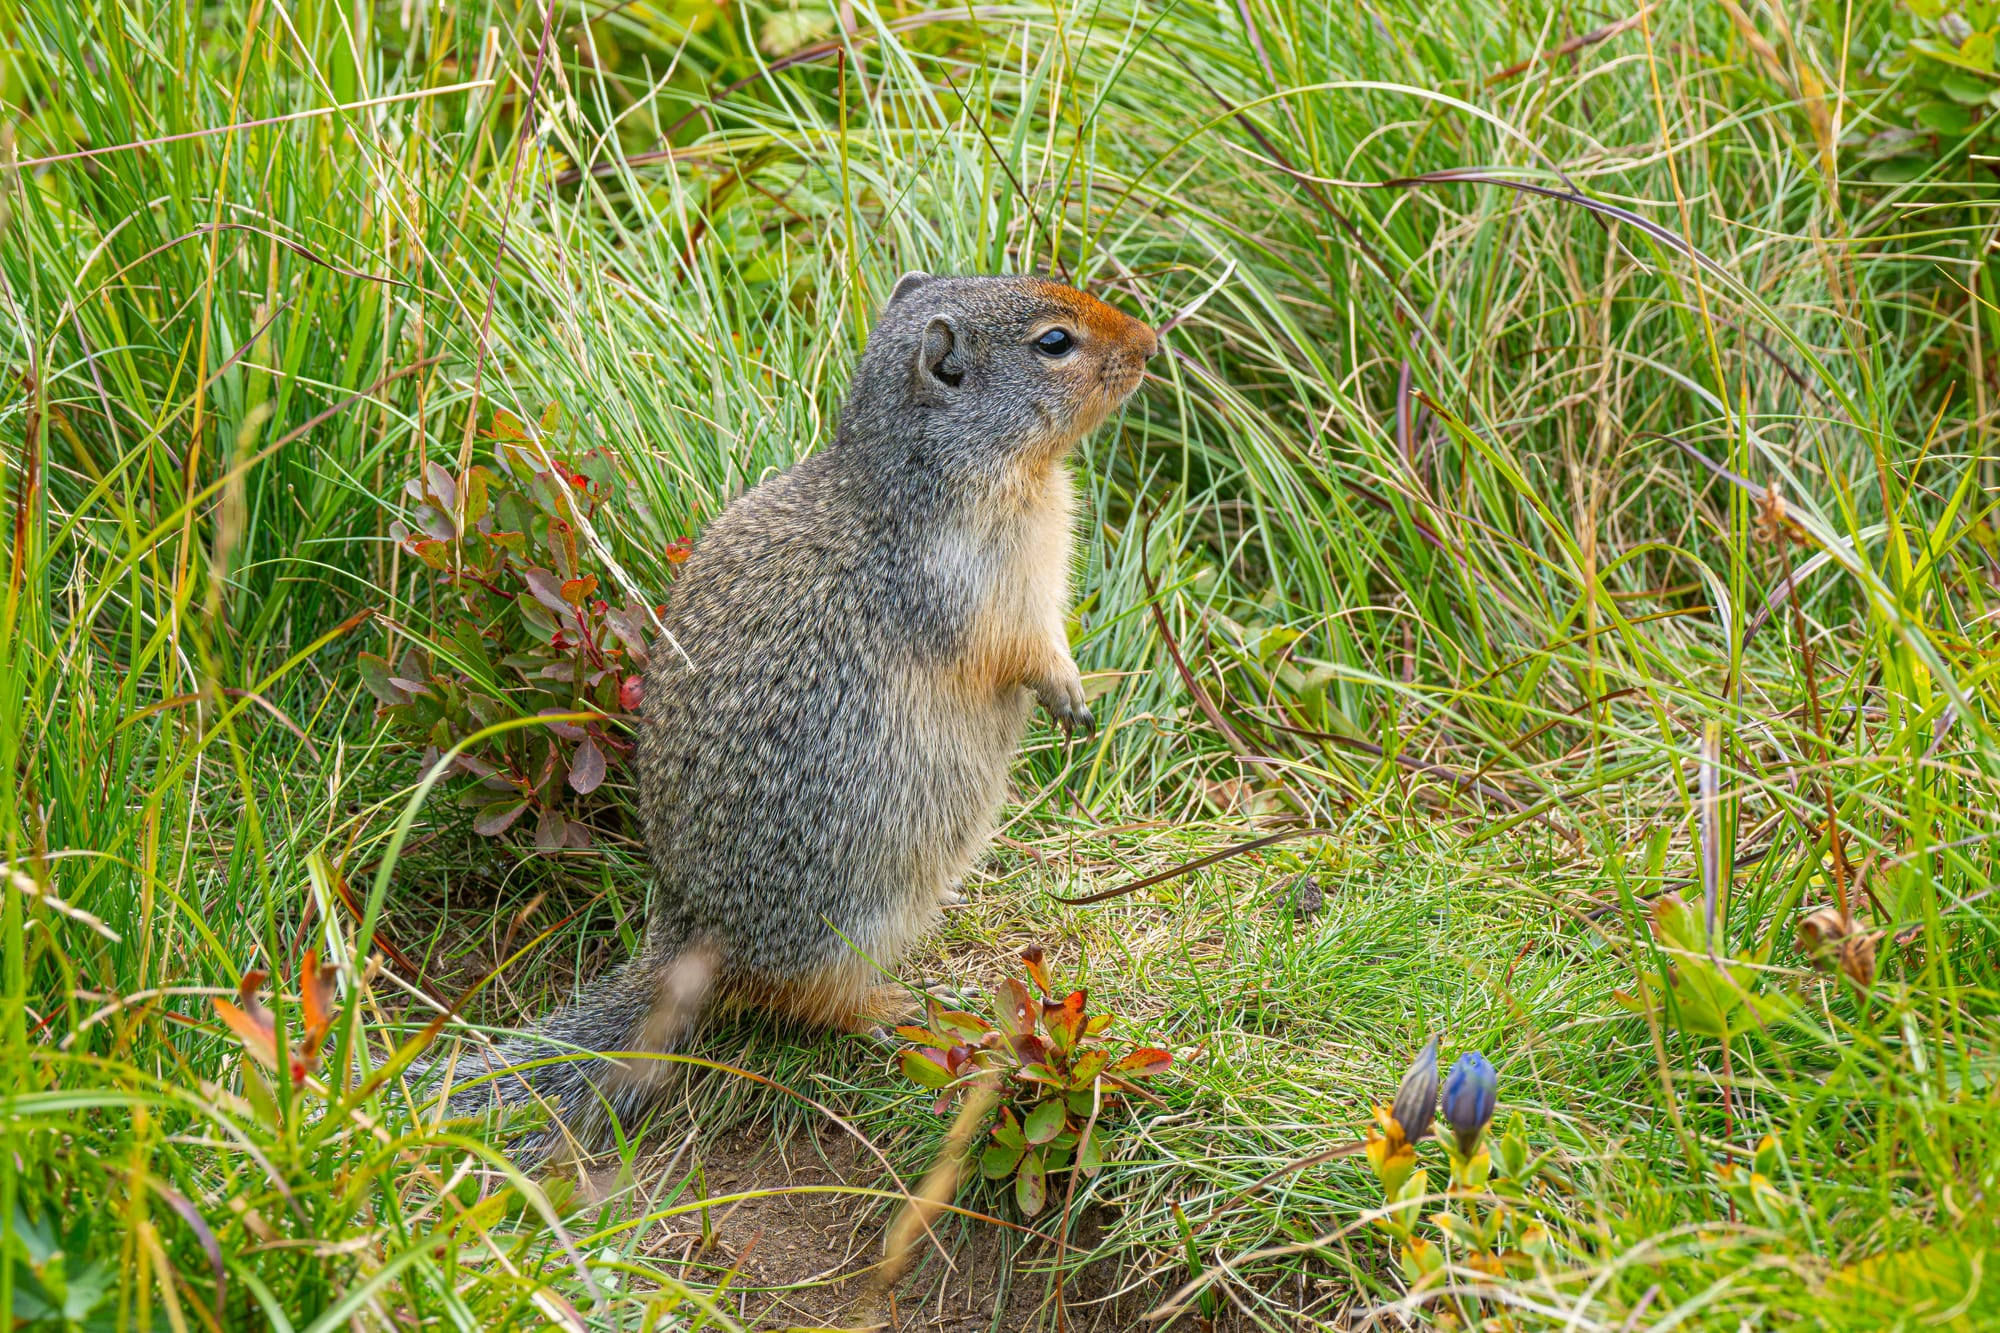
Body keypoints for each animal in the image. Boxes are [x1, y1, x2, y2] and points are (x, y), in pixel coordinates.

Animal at [438, 274, 1159, 1160]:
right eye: (1055, 342)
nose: (1151, 341)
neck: (940, 471)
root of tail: (681, 951)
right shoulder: (978, 579)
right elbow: (1021, 644)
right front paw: (1070, 697)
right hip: (857, 916)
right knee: (813, 1003)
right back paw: (901, 1004)